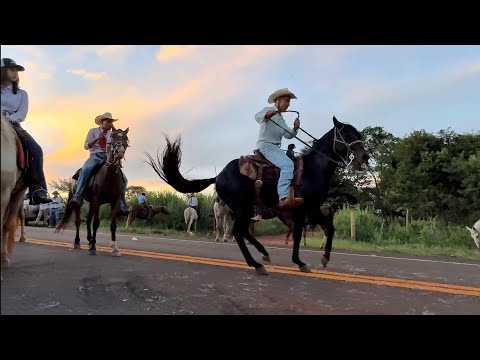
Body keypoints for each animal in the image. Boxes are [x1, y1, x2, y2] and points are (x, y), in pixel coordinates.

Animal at [56, 126, 130, 256]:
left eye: (126, 139)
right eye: (113, 137)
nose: (120, 152)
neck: (109, 175)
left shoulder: (114, 201)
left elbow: (113, 225)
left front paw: (115, 248)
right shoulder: (97, 200)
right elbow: (96, 223)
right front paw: (93, 248)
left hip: (92, 203)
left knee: (88, 220)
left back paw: (90, 240)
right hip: (80, 202)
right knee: (79, 221)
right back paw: (78, 242)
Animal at [148, 116, 370, 274]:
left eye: (357, 134)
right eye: (347, 136)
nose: (365, 157)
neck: (312, 170)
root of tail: (218, 176)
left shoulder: (312, 208)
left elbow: (329, 228)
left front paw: (323, 259)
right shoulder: (300, 210)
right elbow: (298, 235)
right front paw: (300, 262)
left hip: (243, 210)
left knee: (243, 232)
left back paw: (263, 255)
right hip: (242, 208)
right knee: (238, 233)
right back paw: (256, 264)